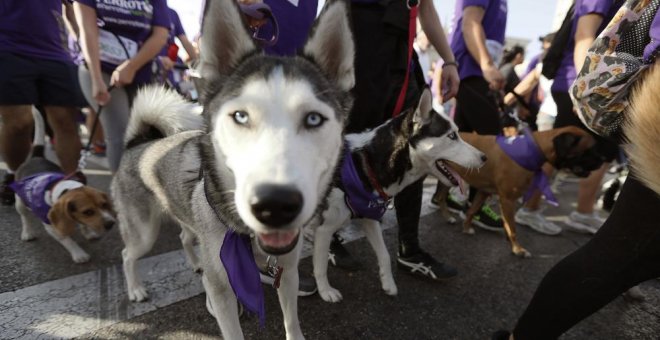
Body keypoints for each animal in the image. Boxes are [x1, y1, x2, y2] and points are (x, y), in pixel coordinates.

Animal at [112, 1, 356, 338]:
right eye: (240, 116)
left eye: (314, 119)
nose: (275, 205)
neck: (247, 235)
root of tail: (139, 142)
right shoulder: (222, 286)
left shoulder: (287, 269)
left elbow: (291, 320)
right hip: (144, 232)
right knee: (127, 254)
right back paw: (135, 289)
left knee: (185, 238)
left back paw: (194, 264)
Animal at [310, 88, 484, 302]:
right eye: (452, 136)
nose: (484, 158)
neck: (366, 163)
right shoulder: (324, 228)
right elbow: (320, 266)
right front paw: (325, 291)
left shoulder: (369, 216)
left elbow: (384, 254)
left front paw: (388, 284)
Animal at [436, 126, 604, 256]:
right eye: (589, 150)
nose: (603, 159)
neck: (534, 149)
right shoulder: (508, 200)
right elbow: (513, 228)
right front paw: (517, 249)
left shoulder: (484, 192)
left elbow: (472, 211)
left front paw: (466, 228)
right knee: (440, 197)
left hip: (447, 178)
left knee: (440, 197)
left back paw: (447, 216)